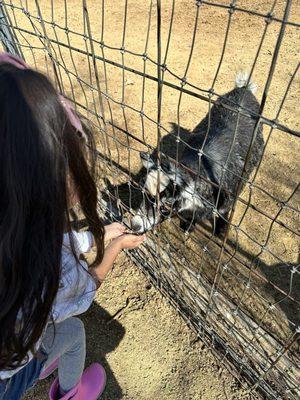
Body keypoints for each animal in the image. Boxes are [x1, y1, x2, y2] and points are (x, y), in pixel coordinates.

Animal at [132, 72, 264, 234]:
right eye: (143, 193)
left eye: (165, 207)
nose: (135, 225)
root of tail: (244, 88)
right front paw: (189, 225)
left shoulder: (230, 195)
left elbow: (224, 212)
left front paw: (221, 229)